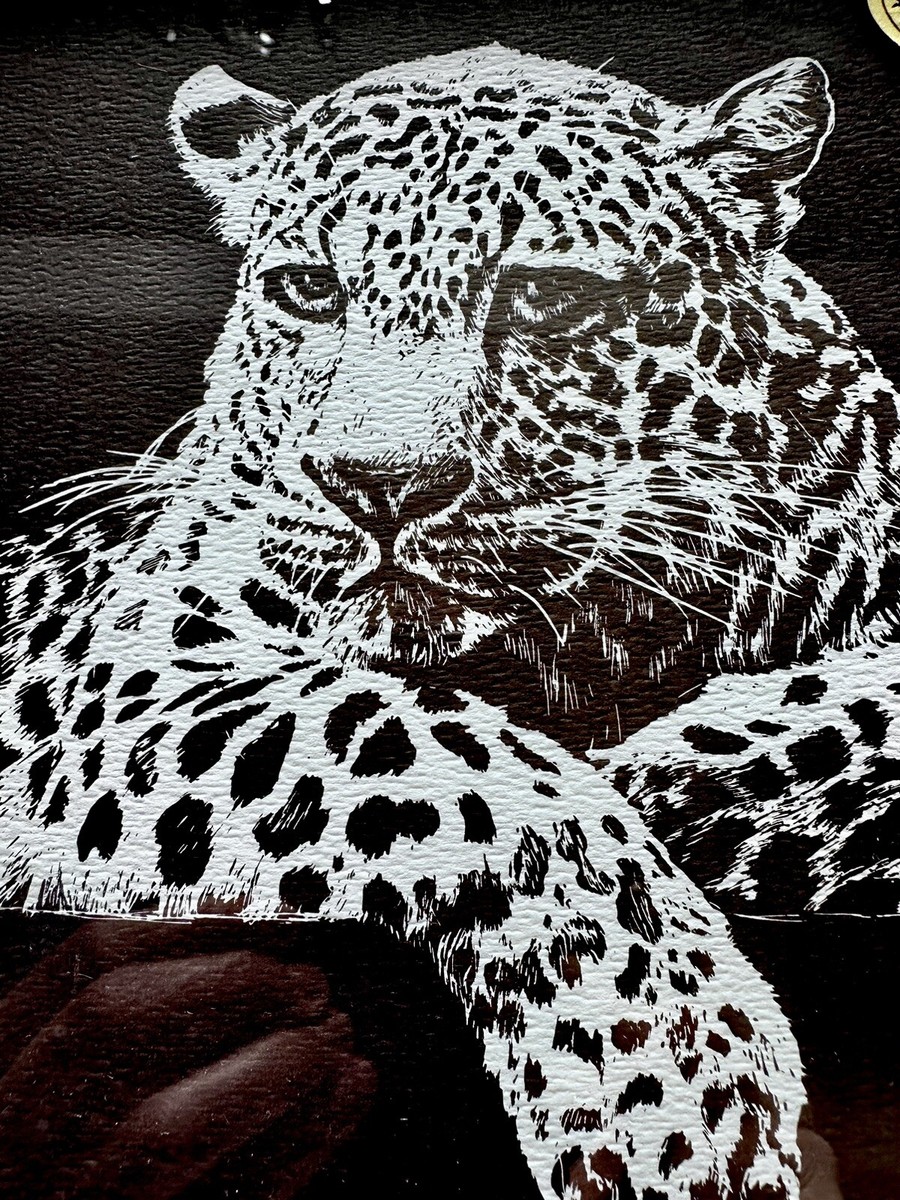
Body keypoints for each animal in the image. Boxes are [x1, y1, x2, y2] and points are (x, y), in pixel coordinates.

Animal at [2, 42, 899, 1198]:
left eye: (547, 295)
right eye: (311, 290)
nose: (381, 485)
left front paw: (685, 791)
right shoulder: (123, 661)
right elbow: (435, 748)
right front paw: (675, 1084)